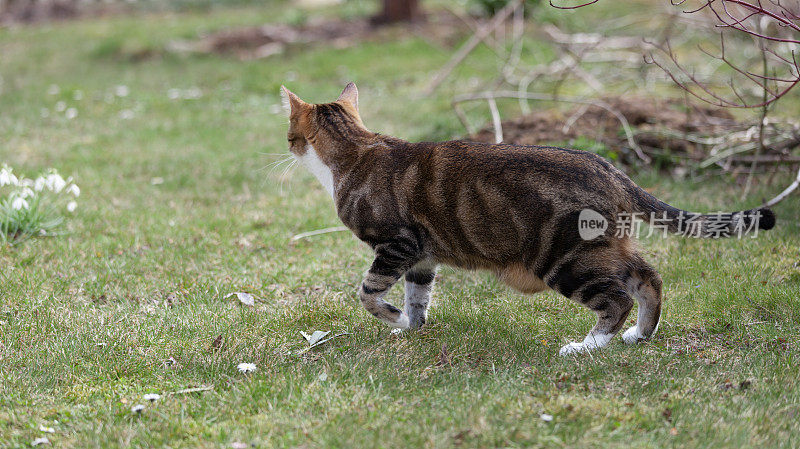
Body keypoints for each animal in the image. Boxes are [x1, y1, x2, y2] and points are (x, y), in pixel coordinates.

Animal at [282, 82, 776, 356]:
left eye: (290, 135)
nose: (285, 147)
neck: (356, 151)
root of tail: (610, 169)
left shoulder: (398, 244)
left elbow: (368, 292)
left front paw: (389, 315)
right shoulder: (422, 257)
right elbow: (418, 298)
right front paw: (410, 325)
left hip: (565, 258)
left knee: (617, 299)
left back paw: (586, 346)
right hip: (606, 248)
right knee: (648, 278)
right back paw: (640, 336)